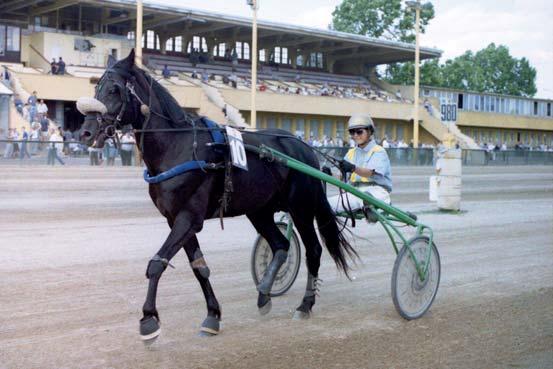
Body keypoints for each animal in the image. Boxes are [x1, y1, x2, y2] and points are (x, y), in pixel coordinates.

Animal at [77, 50, 356, 340]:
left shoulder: (189, 217)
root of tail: (305, 148)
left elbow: (157, 263)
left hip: (301, 207)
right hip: (259, 210)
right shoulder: (175, 219)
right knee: (280, 244)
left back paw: (305, 304)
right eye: (96, 88)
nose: (85, 132)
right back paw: (264, 294)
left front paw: (148, 320)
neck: (179, 145)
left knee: (313, 249)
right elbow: (199, 267)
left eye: (114, 89)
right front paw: (212, 315)